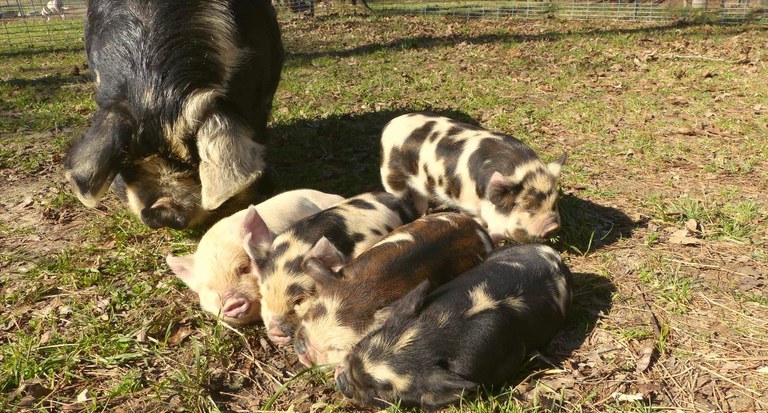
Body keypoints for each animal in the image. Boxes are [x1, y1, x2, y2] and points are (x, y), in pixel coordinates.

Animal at [380, 112, 568, 243]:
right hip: (390, 174)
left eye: (554, 203)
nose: (552, 227)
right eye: (529, 207)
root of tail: (390, 125)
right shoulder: (467, 204)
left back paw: (423, 215)